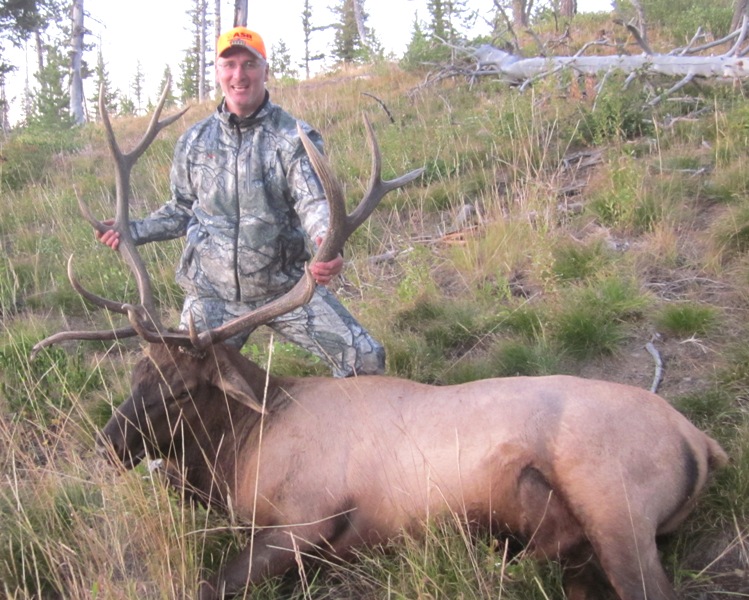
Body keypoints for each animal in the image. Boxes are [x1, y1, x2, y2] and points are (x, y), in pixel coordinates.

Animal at [33, 84, 724, 600]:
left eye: (180, 390)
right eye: (135, 376)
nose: (107, 445)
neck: (243, 448)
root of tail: (702, 441)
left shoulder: (310, 516)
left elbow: (208, 583)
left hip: (614, 501)